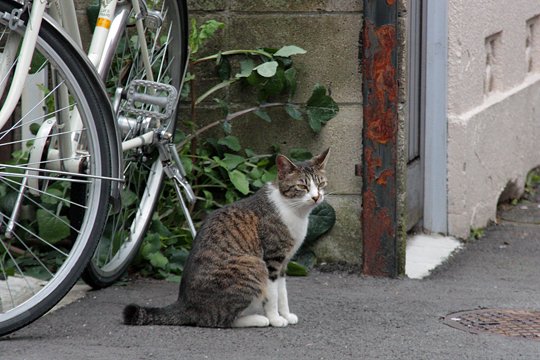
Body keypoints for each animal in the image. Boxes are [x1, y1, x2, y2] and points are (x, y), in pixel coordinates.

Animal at [123, 148, 330, 328]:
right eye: (302, 186)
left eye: (321, 184)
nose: (316, 197)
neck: (294, 210)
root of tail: (185, 304)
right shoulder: (272, 259)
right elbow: (272, 295)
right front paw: (276, 319)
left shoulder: (284, 262)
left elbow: (283, 292)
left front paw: (286, 315)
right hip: (253, 265)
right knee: (219, 320)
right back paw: (258, 319)